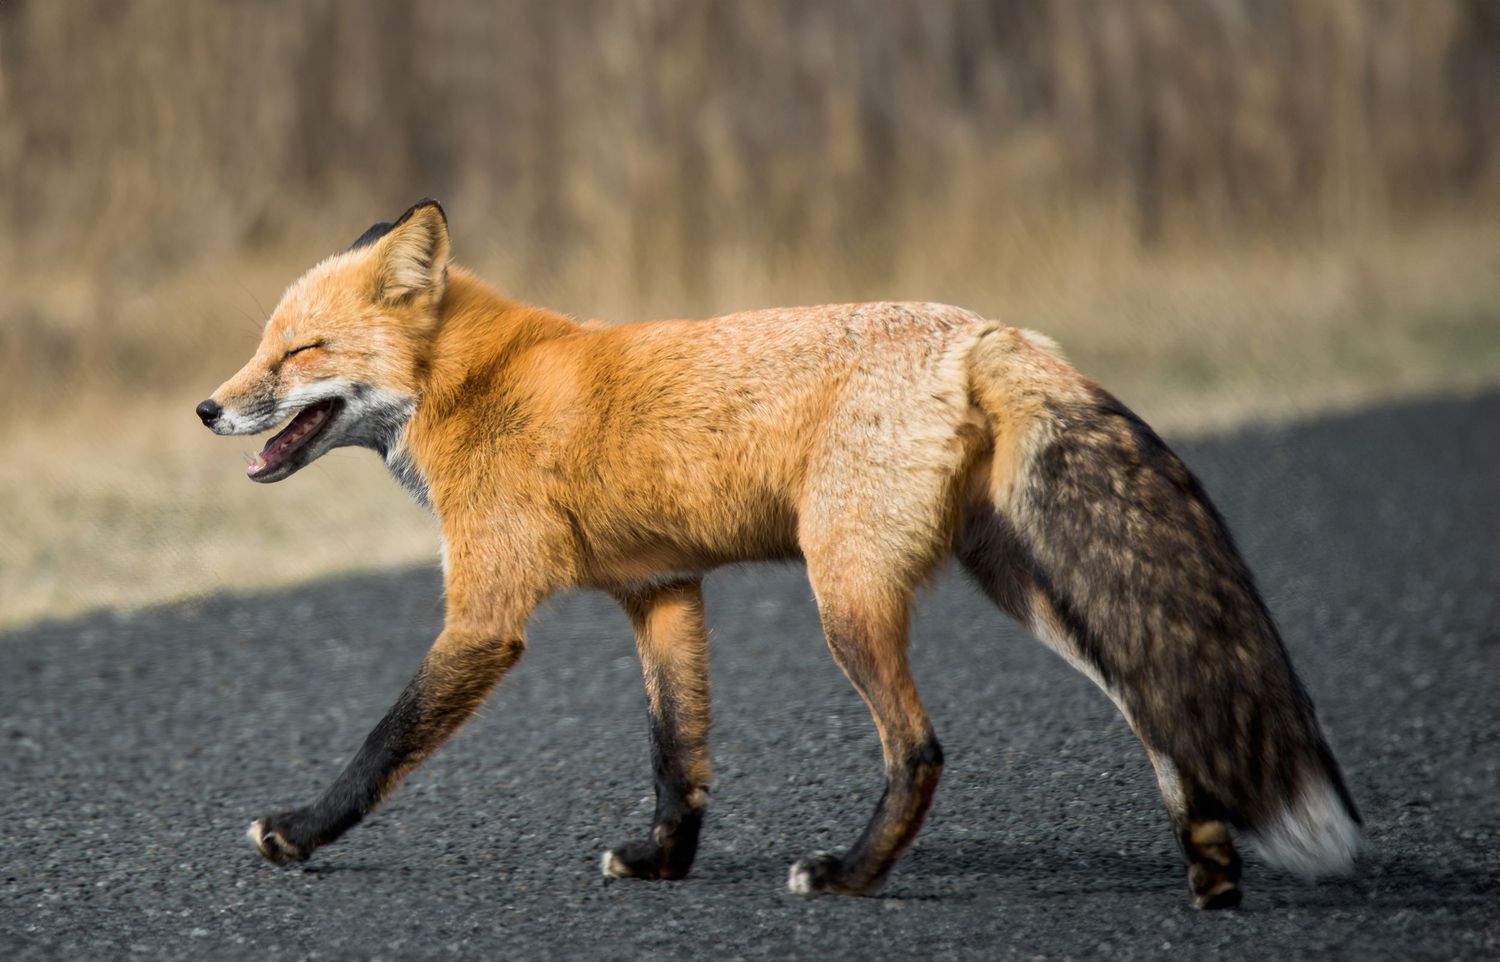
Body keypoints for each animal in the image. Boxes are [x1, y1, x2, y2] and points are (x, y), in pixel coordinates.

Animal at [198, 199, 1359, 908]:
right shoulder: (660, 589)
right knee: (1155, 707)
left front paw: (298, 832)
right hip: (1026, 588)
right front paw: (663, 862)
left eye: (299, 353)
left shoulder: (488, 613)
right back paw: (1211, 876)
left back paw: (850, 875)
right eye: (260, 346)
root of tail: (986, 329)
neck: (475, 383)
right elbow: (679, 755)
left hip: (845, 593)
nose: (208, 408)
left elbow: (383, 742)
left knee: (921, 748)